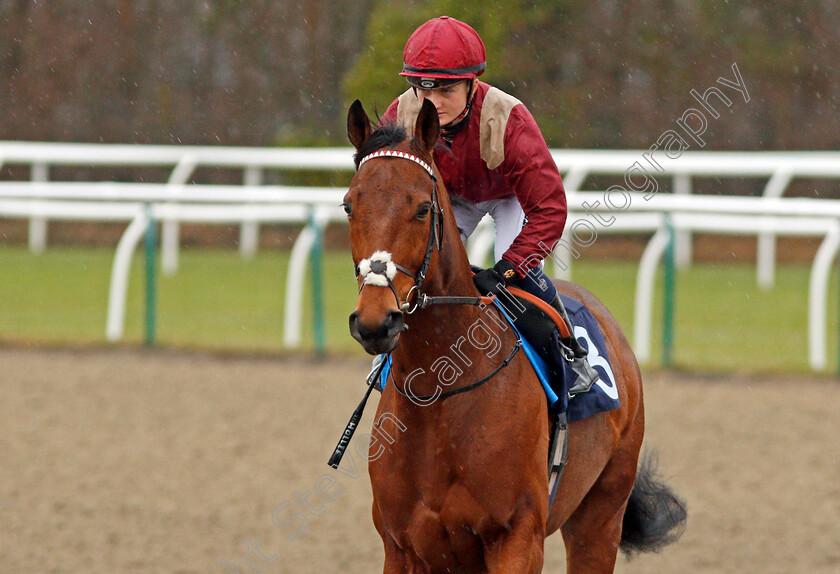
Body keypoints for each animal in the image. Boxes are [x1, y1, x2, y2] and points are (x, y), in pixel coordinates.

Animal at [340, 97, 684, 572]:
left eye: (423, 208)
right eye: (349, 206)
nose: (376, 322)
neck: (440, 392)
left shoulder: (517, 535)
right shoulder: (402, 545)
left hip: (601, 514)